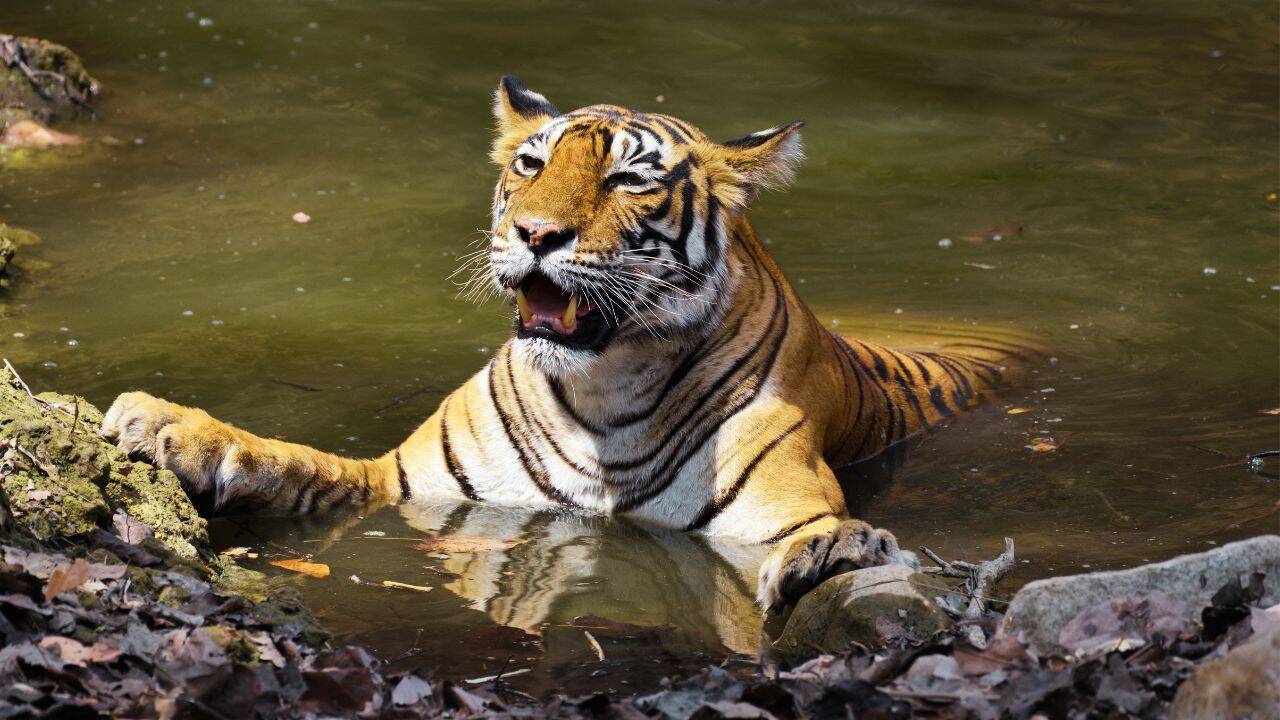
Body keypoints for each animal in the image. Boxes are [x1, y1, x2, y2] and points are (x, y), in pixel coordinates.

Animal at [99, 76, 1038, 612]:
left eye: (626, 178)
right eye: (530, 164)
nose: (536, 232)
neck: (603, 391)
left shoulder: (778, 504)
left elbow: (817, 531)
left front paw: (836, 552)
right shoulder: (398, 480)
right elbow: (292, 456)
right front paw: (167, 426)